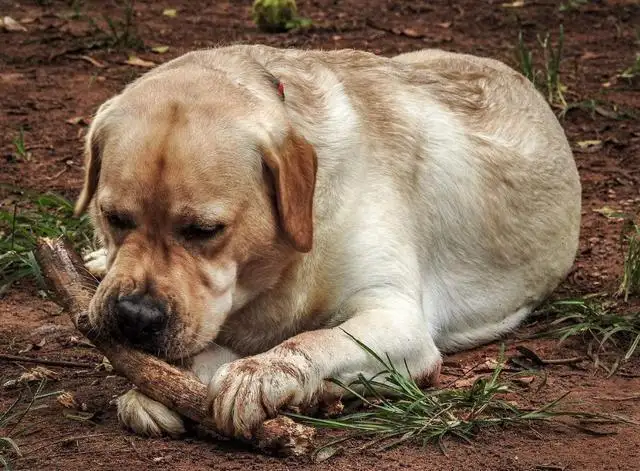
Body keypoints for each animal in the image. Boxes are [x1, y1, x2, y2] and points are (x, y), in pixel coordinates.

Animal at [75, 46, 580, 440]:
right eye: (113, 217)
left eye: (204, 231)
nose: (135, 316)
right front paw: (156, 387)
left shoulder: (396, 317)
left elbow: (314, 341)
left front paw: (260, 374)